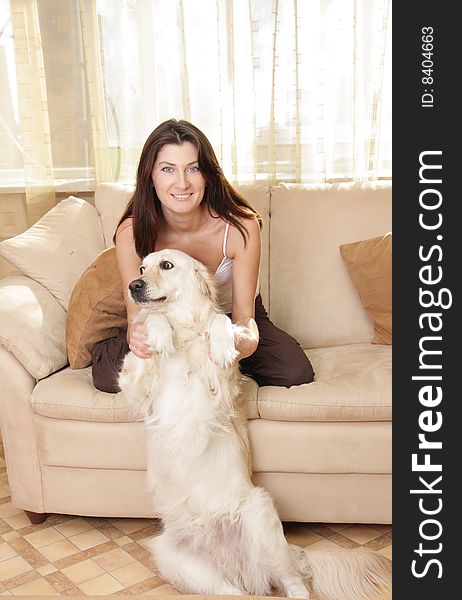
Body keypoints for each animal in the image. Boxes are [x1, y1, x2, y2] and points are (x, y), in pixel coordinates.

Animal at [118, 247, 390, 596]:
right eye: (141, 267)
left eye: (166, 265)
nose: (133, 286)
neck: (183, 330)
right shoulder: (137, 388)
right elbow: (150, 327)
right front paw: (158, 333)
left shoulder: (222, 385)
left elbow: (220, 319)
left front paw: (220, 343)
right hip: (176, 558)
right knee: (233, 592)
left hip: (260, 517)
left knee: (295, 583)